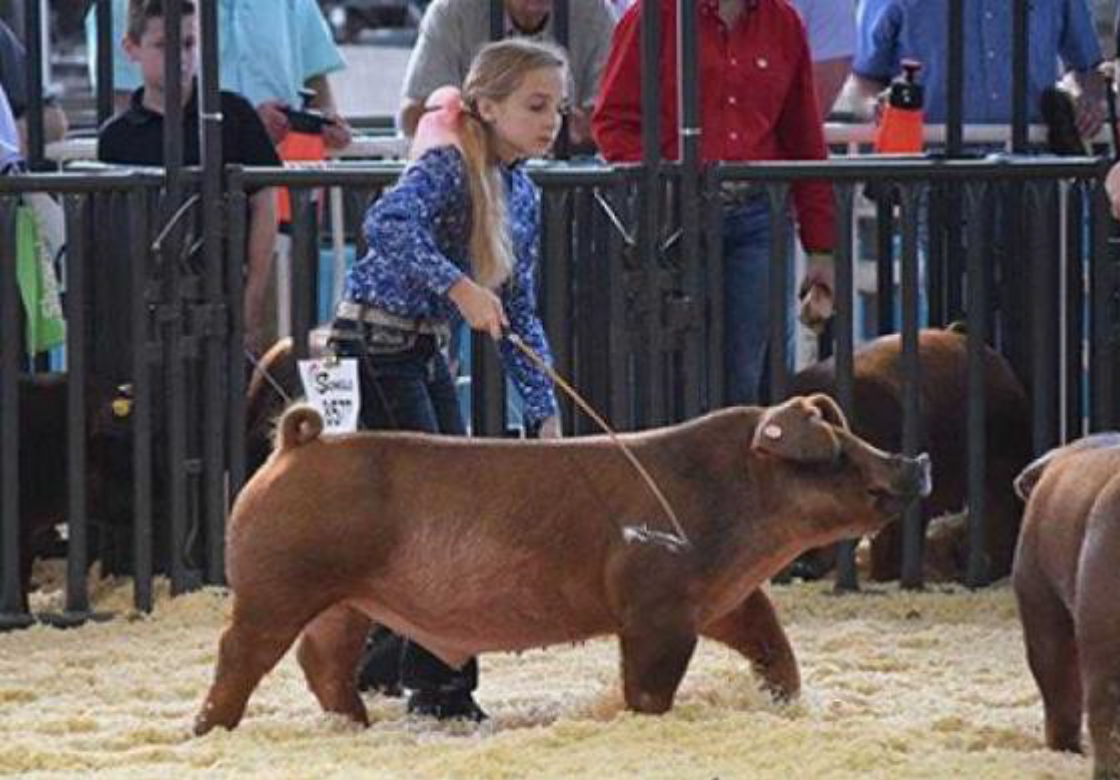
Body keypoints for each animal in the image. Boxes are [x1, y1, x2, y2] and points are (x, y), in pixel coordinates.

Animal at [197, 396, 931, 730]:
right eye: (836, 452)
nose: (915, 459)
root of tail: (295, 445)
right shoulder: (656, 607)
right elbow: (649, 684)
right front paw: (644, 719)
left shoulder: (729, 600)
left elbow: (775, 647)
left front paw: (785, 702)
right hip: (277, 587)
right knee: (241, 653)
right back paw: (212, 730)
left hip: (346, 601)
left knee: (321, 663)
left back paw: (355, 725)